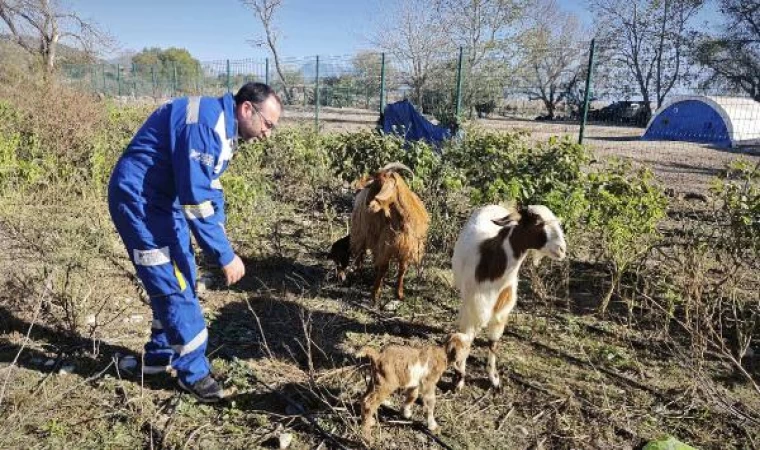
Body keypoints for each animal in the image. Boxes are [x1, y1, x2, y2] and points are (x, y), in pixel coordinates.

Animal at [452, 206, 564, 388]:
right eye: (537, 222)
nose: (562, 249)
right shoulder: (473, 309)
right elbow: (466, 339)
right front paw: (459, 379)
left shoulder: (501, 313)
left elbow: (493, 343)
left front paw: (494, 379)